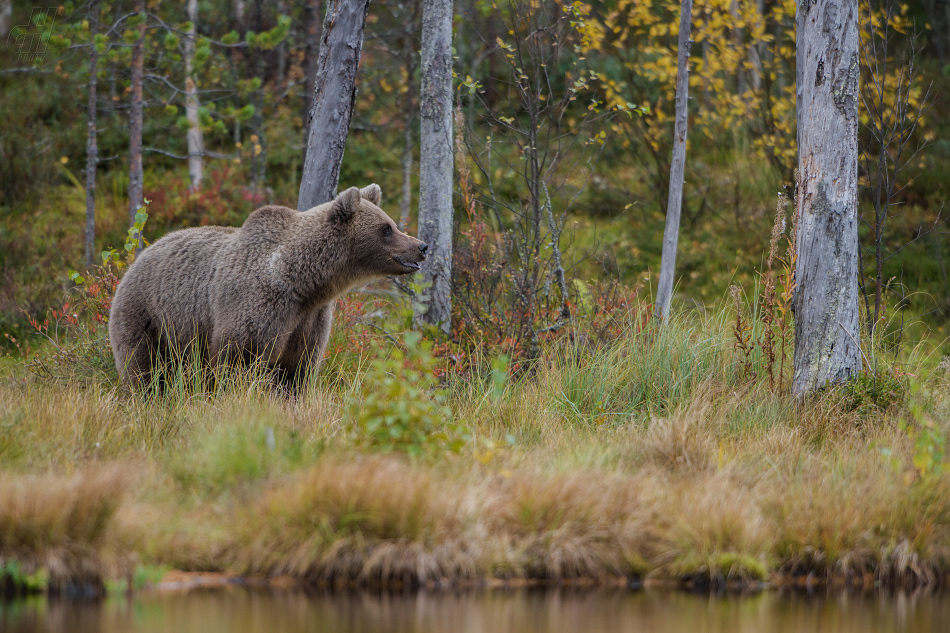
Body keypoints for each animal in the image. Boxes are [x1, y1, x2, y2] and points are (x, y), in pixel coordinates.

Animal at [108, 184, 428, 386]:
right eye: (386, 229)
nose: (422, 246)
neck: (303, 282)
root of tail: (138, 257)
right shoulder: (258, 303)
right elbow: (239, 359)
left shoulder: (309, 320)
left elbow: (295, 371)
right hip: (149, 317)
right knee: (145, 368)